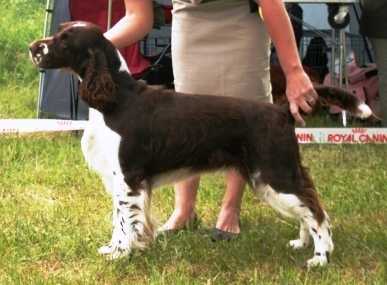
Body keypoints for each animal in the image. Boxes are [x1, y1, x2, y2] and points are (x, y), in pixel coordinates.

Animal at [28, 21, 374, 266]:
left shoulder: (128, 178)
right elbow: (119, 220)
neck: (116, 98)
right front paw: (115, 248)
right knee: (307, 205)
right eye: (58, 32)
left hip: (274, 172)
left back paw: (319, 258)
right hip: (275, 175)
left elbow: (126, 221)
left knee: (316, 210)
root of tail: (280, 110)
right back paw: (302, 243)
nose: (33, 47)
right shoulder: (121, 179)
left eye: (65, 39)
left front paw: (121, 254)